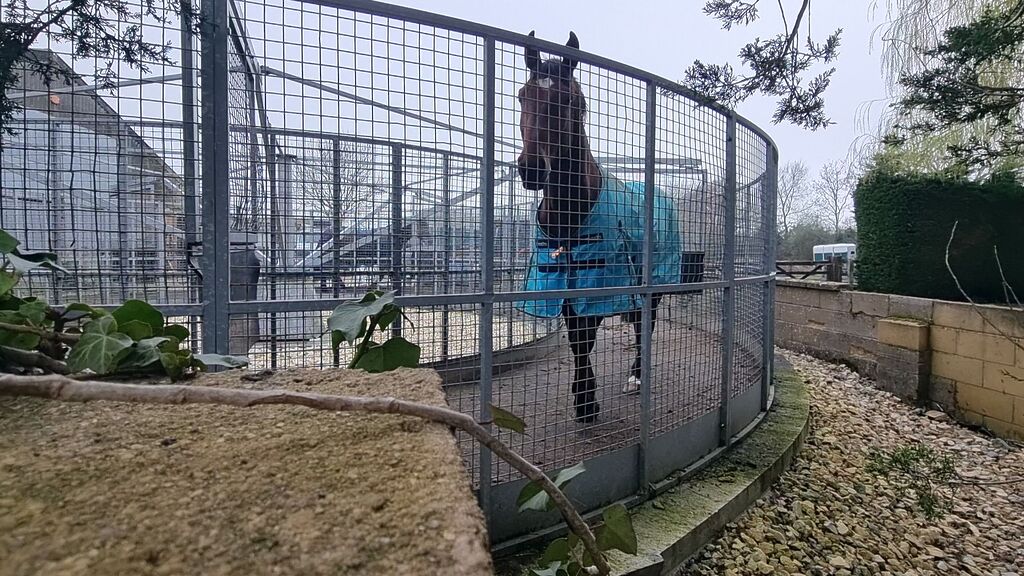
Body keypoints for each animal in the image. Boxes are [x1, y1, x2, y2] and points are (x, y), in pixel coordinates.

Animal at [513, 31, 683, 424]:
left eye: (569, 100)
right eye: (523, 94)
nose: (531, 169)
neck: (572, 213)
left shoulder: (600, 279)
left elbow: (586, 335)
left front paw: (587, 402)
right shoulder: (561, 278)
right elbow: (577, 338)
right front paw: (583, 397)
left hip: (653, 281)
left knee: (645, 324)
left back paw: (637, 376)